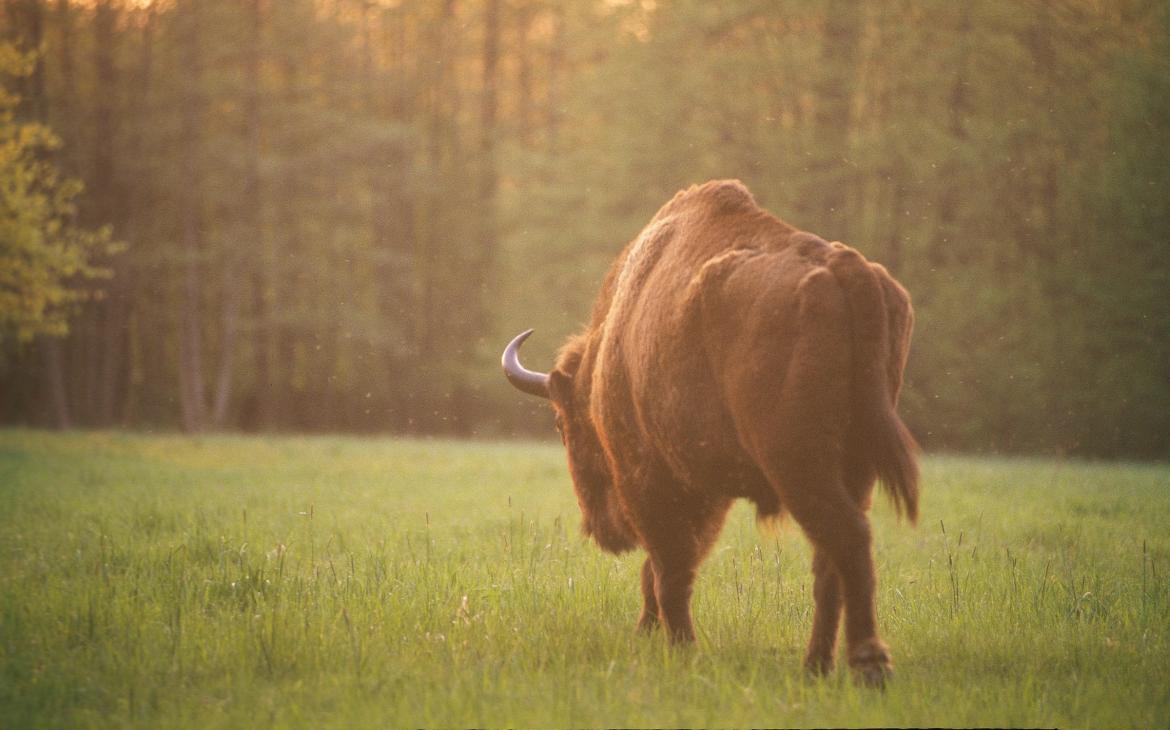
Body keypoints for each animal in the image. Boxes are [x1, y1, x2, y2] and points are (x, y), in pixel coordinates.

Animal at [498, 177, 917, 683]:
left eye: (563, 423)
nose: (600, 529)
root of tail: (844, 266)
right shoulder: (704, 493)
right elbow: (670, 566)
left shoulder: (653, 482)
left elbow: (669, 568)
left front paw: (680, 648)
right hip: (856, 467)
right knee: (829, 563)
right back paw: (815, 665)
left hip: (798, 464)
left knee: (847, 538)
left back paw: (868, 665)